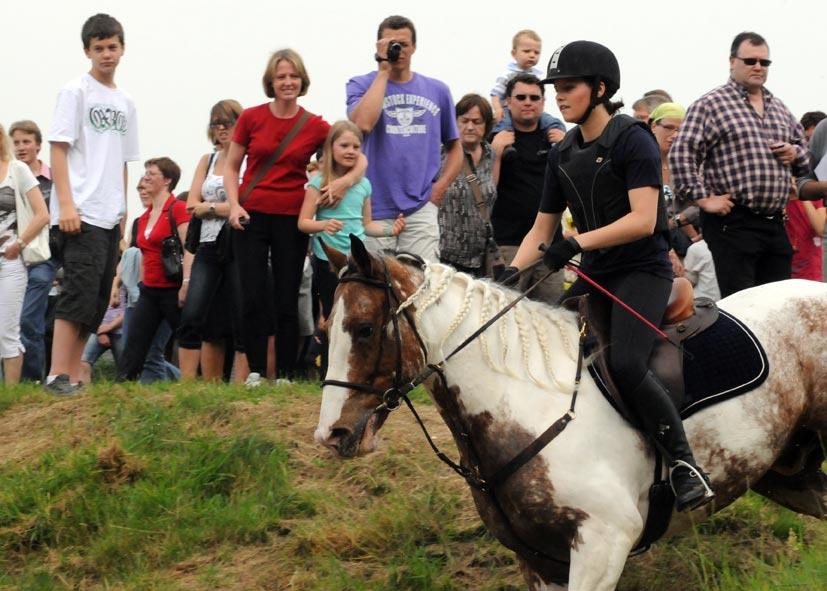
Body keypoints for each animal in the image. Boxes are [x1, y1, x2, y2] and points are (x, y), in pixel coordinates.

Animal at [314, 236, 827, 591]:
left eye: (363, 328)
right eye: (326, 328)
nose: (332, 435)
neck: (525, 405)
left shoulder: (604, 544)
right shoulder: (540, 562)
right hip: (788, 474)